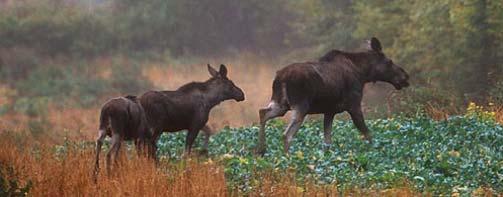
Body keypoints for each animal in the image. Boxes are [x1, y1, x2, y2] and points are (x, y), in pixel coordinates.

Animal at [260, 37, 410, 154]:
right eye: (389, 61)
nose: (405, 77)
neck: (363, 74)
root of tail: (280, 77)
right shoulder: (354, 105)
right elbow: (368, 134)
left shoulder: (329, 111)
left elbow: (327, 141)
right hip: (301, 106)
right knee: (287, 134)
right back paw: (286, 158)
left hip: (281, 104)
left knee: (263, 113)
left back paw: (260, 151)